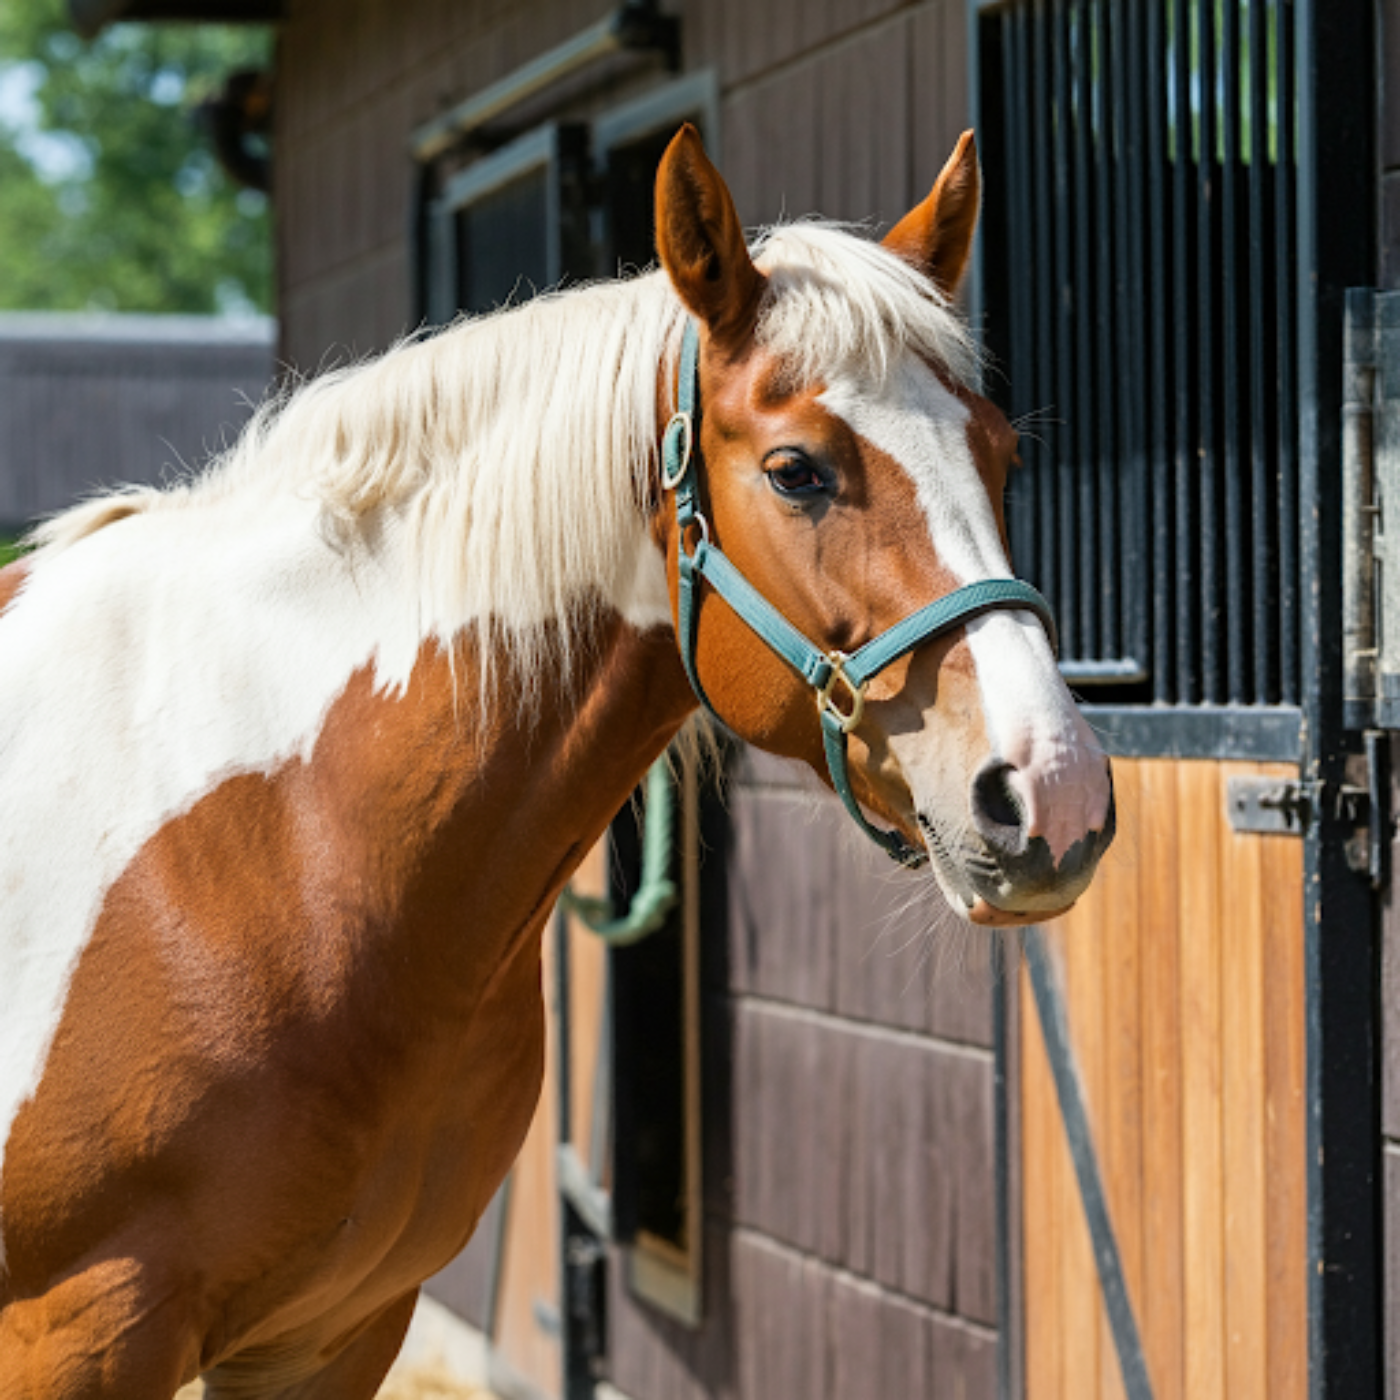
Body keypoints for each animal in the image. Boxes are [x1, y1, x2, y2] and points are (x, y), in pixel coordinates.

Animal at [0, 126, 1114, 1394]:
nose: (1051, 788)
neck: (264, 847)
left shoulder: (334, 1328)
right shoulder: (78, 1334)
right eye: (796, 470)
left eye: (1000, 452)